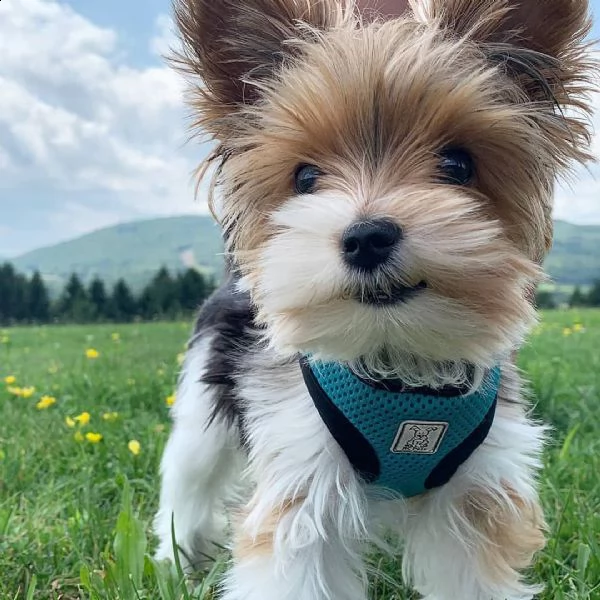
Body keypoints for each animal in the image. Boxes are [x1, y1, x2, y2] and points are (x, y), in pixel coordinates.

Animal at [154, 1, 596, 600]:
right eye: (305, 177)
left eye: (458, 165)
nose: (367, 237)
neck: (395, 358)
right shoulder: (303, 477)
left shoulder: (476, 490)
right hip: (204, 408)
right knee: (190, 483)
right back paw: (177, 561)